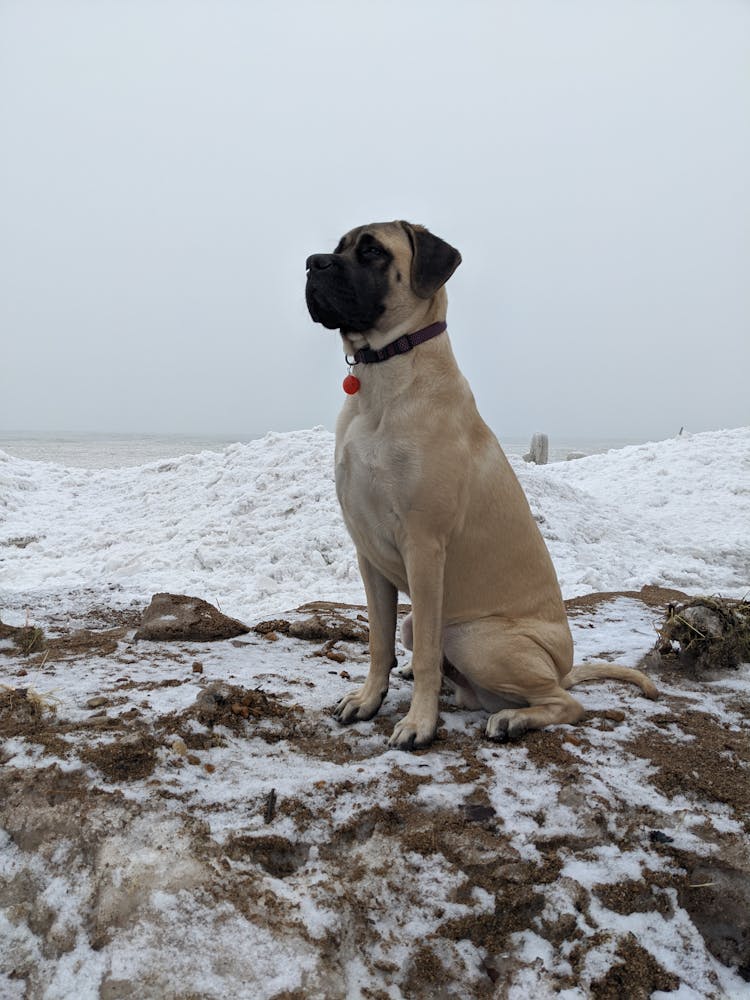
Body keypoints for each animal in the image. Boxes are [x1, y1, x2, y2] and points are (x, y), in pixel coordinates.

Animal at [306, 221, 656, 752]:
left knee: (565, 701)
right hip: (425, 625)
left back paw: (513, 718)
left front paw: (418, 723)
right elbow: (377, 641)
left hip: (476, 638)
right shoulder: (369, 552)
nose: (312, 263)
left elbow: (426, 657)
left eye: (372, 251)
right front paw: (369, 700)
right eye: (338, 247)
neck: (381, 378)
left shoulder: (424, 546)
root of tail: (564, 666)